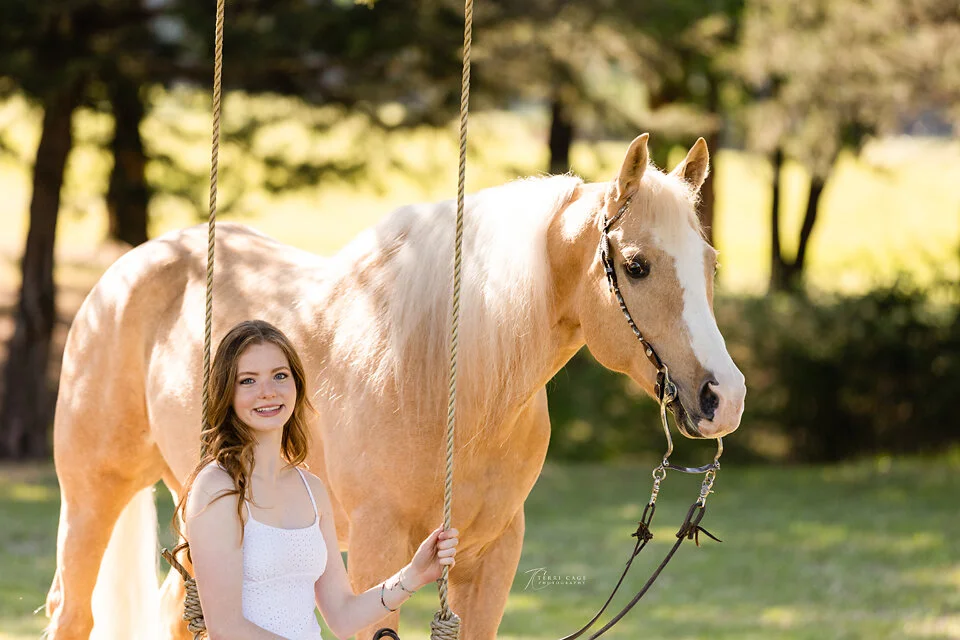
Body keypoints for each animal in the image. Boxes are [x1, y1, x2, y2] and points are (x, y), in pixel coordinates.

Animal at [43, 133, 745, 640]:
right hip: (92, 497)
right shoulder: (377, 552)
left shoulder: (493, 555)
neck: (444, 380)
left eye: (710, 262)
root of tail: (130, 267)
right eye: (637, 265)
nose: (723, 399)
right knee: (73, 612)